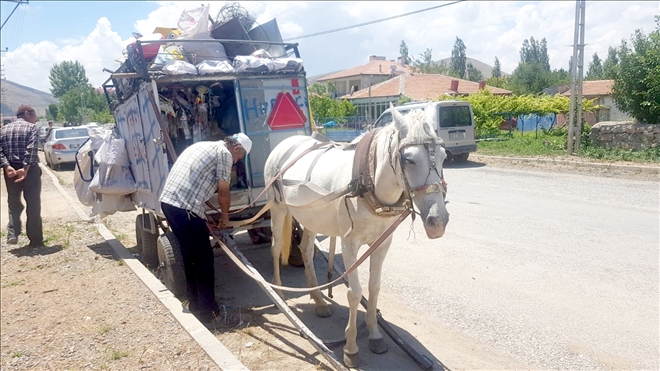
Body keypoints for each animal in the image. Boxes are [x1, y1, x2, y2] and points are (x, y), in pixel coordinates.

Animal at [262, 102, 448, 370]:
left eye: (445, 156)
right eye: (408, 159)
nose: (438, 221)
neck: (368, 182)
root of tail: (286, 143)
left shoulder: (382, 243)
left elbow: (374, 288)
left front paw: (375, 335)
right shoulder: (349, 244)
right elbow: (355, 293)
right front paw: (350, 347)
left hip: (310, 217)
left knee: (306, 249)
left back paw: (318, 300)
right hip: (278, 209)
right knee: (276, 247)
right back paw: (280, 293)